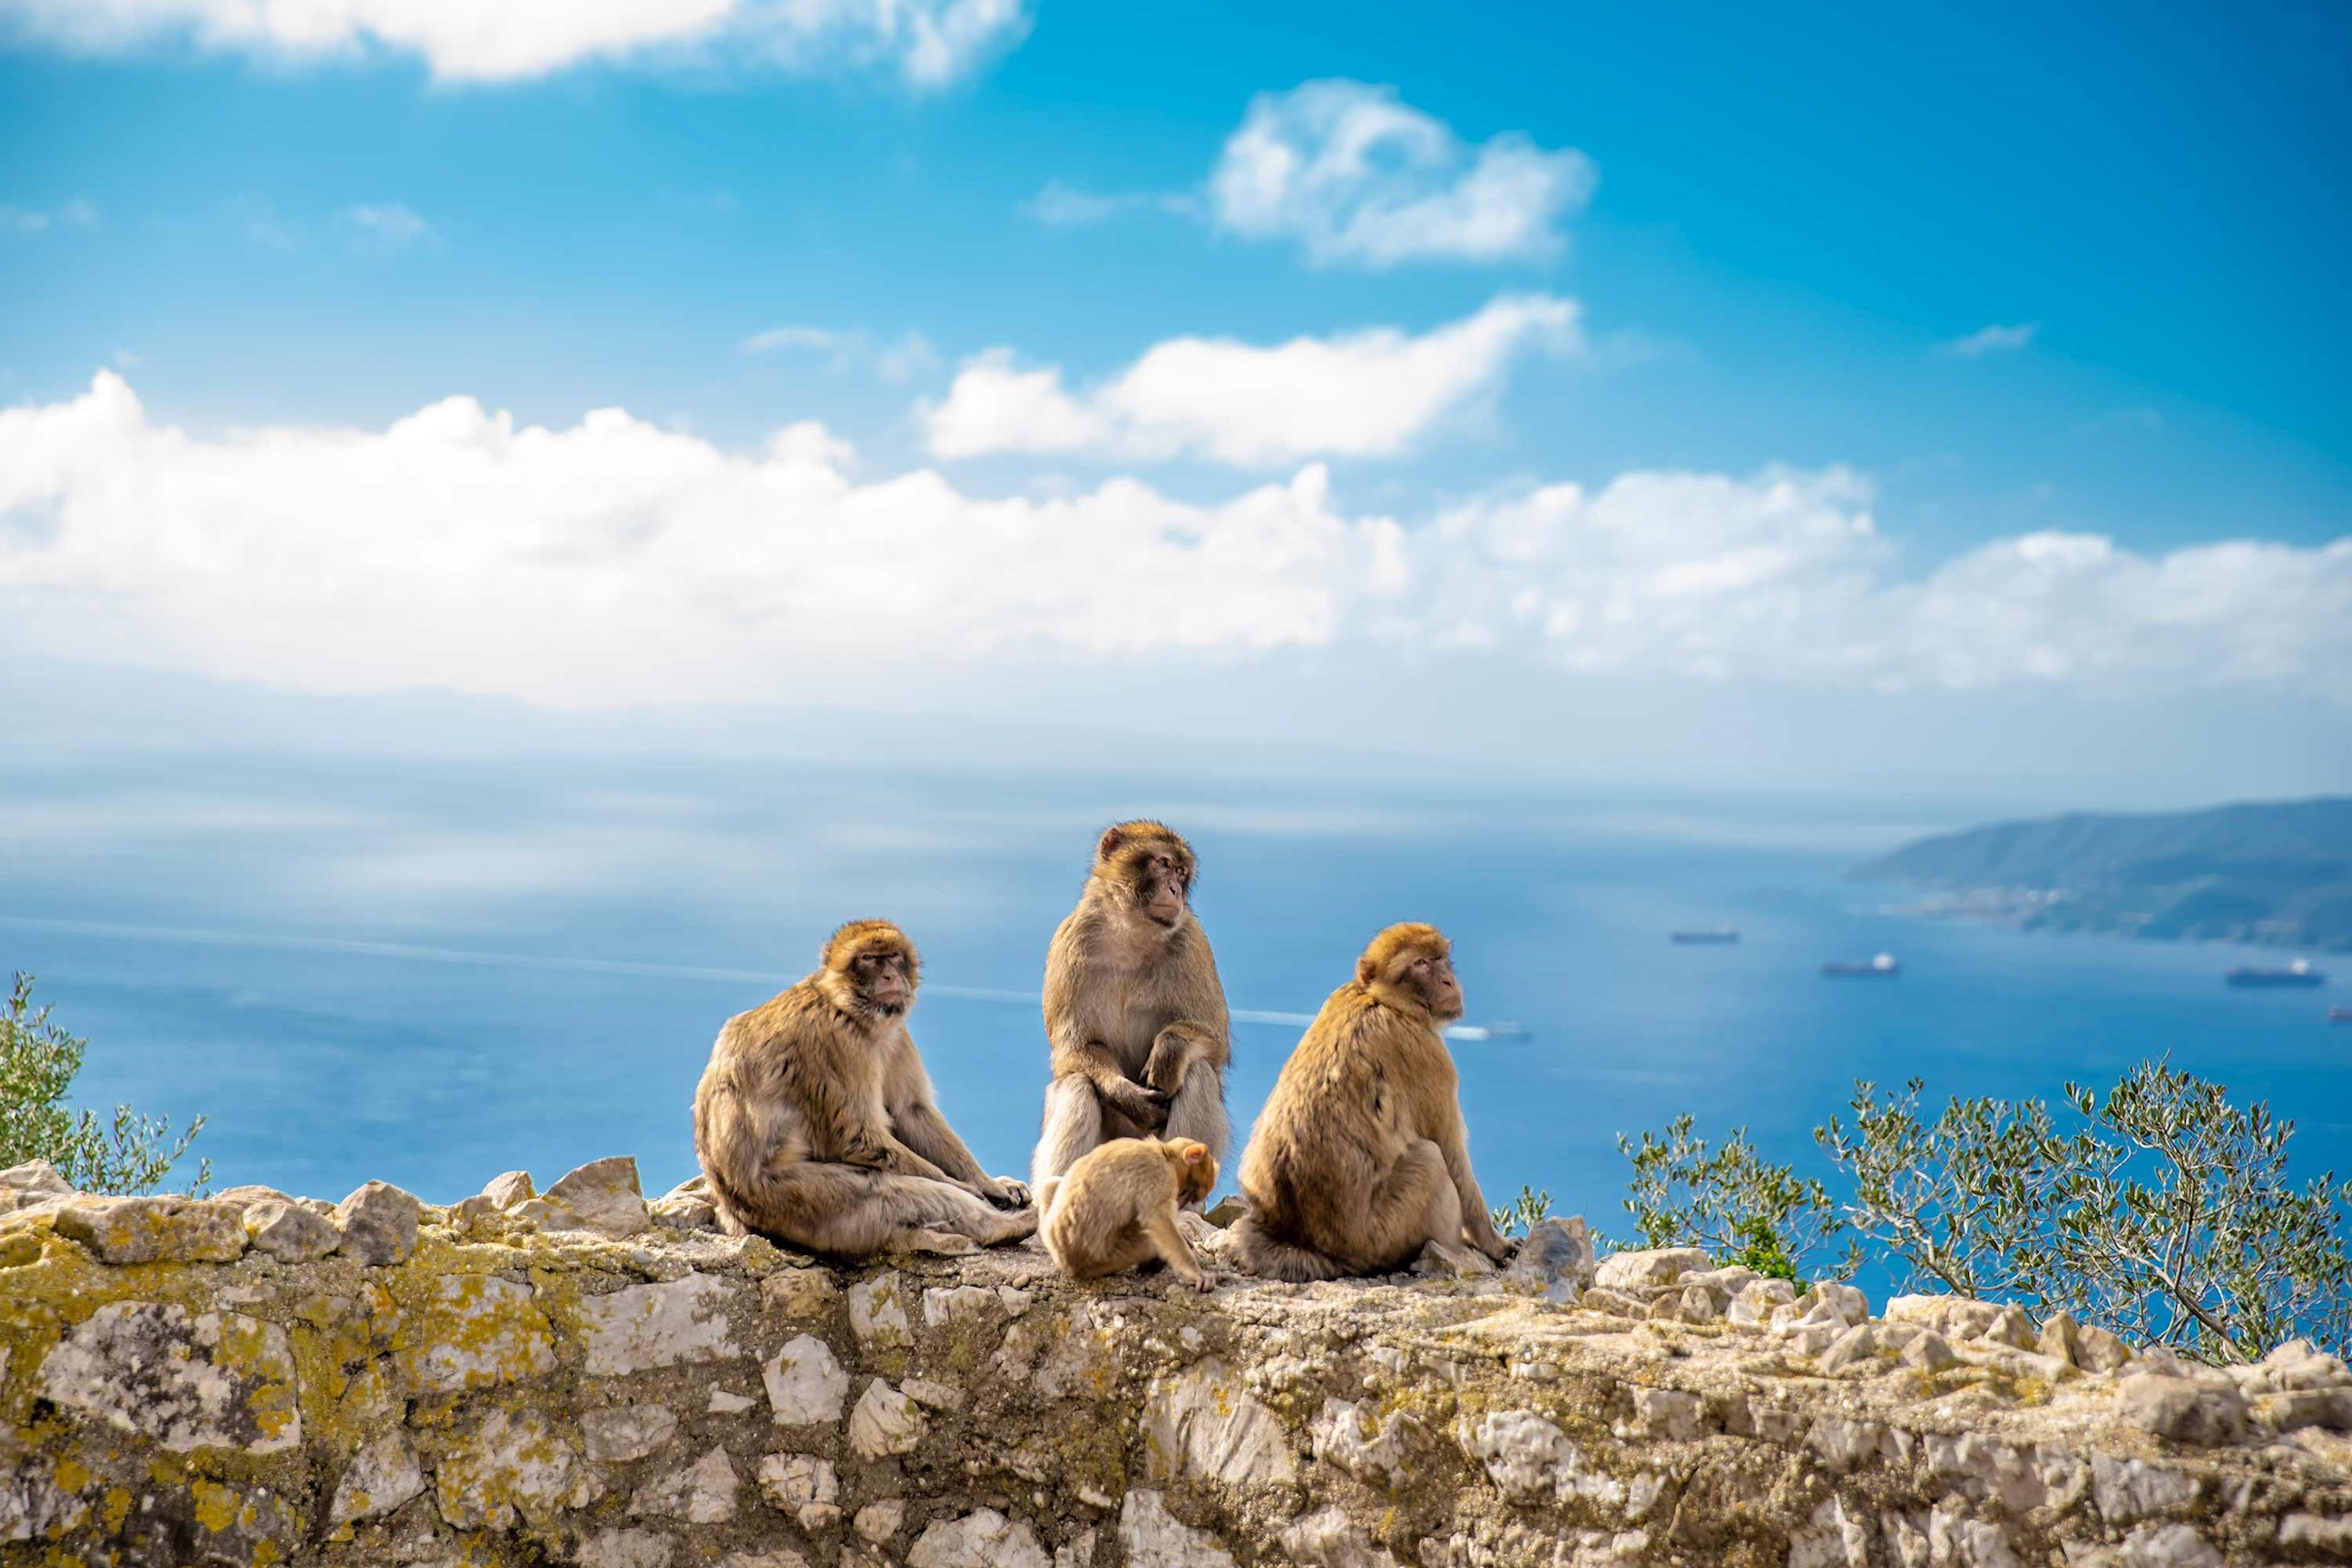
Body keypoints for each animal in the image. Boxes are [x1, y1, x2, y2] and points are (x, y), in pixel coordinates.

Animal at [693, 920, 1035, 1259]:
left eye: (893, 955)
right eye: (869, 959)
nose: (889, 976)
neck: (846, 1007)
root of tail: (734, 1214)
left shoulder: (897, 1034)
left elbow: (911, 1111)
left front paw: (989, 1184)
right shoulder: (834, 1038)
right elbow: (859, 1136)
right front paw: (969, 1190)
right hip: (793, 1202)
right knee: (884, 1188)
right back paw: (1001, 1227)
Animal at [1031, 821, 1231, 1217]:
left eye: (1181, 873)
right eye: (1163, 863)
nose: (1175, 891)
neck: (1131, 932)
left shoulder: (1193, 942)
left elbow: (1216, 1042)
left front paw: (1169, 1049)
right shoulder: (1068, 942)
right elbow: (1075, 1048)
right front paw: (1126, 1095)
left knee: (1197, 1071)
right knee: (1078, 1082)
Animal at [1042, 1135, 1219, 1290]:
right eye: (1189, 1193)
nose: (1180, 1202)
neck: (1162, 1152)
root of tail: (1066, 1263)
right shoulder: (1157, 1172)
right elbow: (1157, 1217)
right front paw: (1196, 1273)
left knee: (1050, 1184)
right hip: (1110, 1257)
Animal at [1229, 922, 1514, 1281]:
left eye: (1441, 958)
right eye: (1420, 963)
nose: (1449, 980)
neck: (1382, 1000)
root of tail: (1309, 1244)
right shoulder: (1429, 1056)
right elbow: (1451, 1152)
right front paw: (1494, 1243)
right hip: (1386, 1233)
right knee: (1431, 1159)